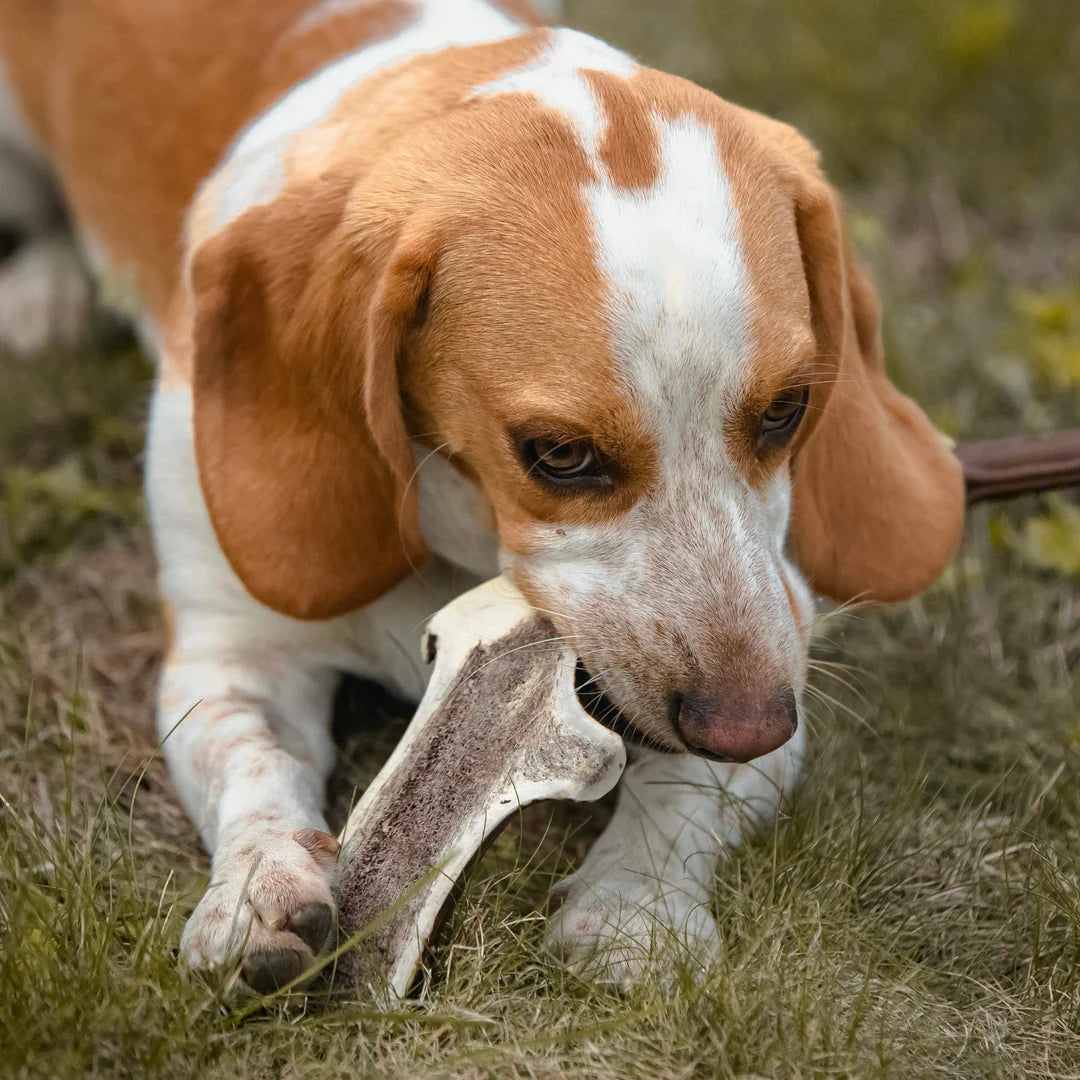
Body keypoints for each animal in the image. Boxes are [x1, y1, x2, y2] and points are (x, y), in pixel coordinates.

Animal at [0, 0, 963, 989]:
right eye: (560, 455)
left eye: (786, 410)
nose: (747, 725)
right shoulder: (231, 655)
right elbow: (250, 763)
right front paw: (258, 884)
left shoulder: (783, 630)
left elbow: (686, 790)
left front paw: (636, 904)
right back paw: (44, 294)